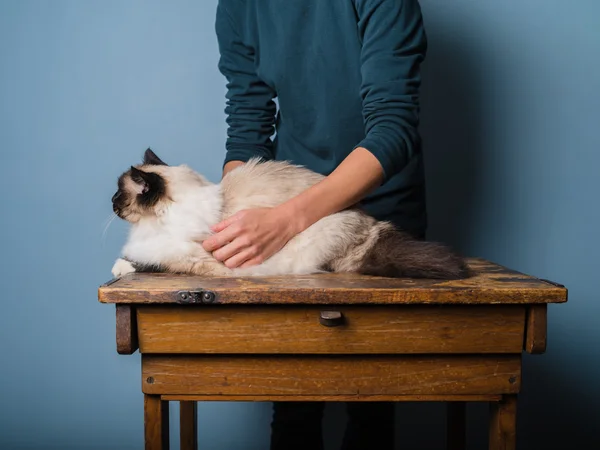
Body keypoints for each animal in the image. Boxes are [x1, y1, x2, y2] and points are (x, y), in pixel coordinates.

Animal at [110, 149, 472, 280]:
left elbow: (143, 262)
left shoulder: (187, 258)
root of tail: (369, 224)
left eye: (117, 193)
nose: (111, 204)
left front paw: (120, 267)